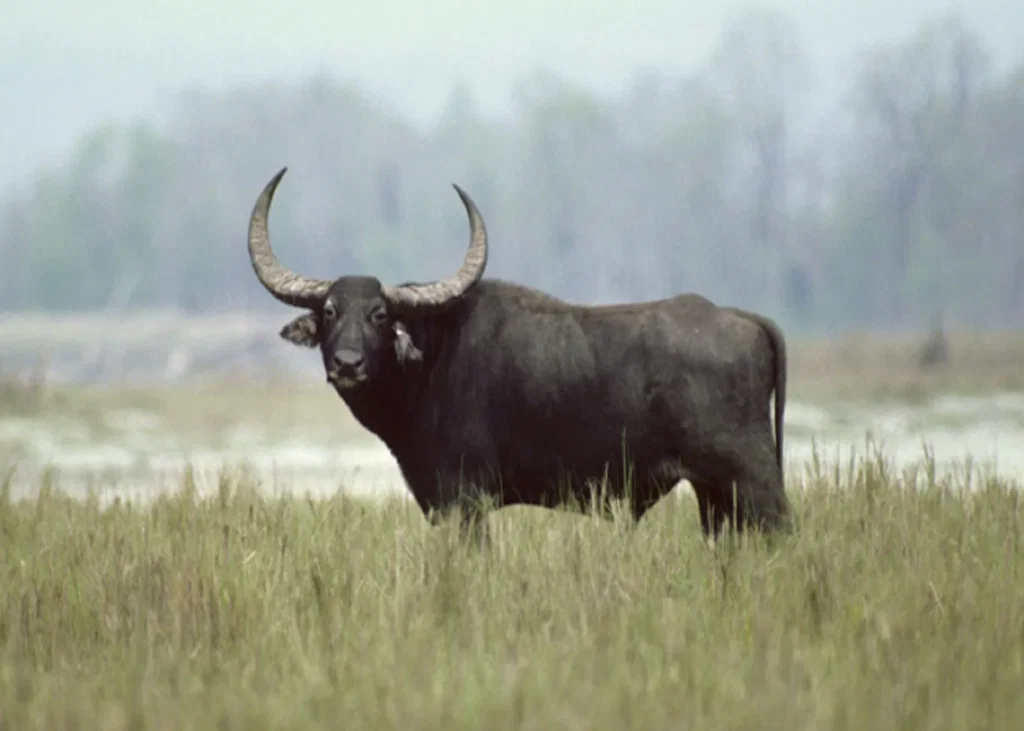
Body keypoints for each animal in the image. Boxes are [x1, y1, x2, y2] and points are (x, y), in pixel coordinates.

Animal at [246, 167, 791, 543]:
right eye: (330, 311)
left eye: (380, 314)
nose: (348, 363)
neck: (431, 359)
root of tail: (740, 318)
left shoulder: (463, 502)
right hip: (715, 497)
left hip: (753, 481)